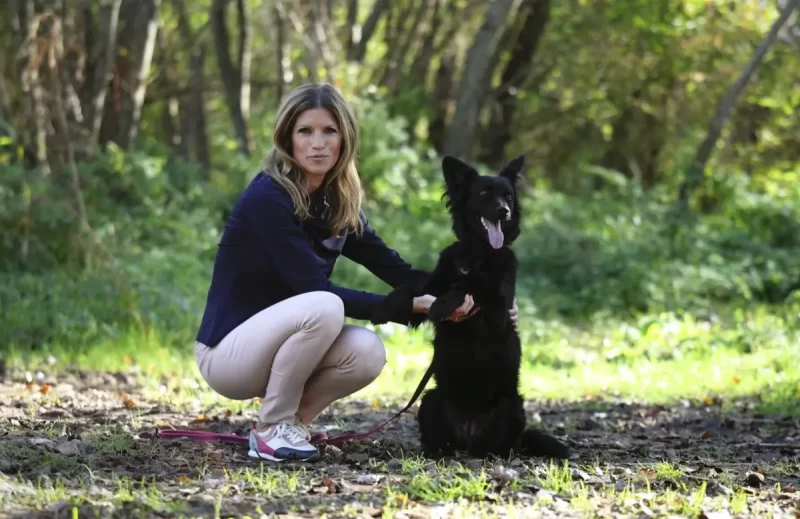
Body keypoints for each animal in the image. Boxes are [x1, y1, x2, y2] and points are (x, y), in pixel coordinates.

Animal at [371, 155, 570, 460]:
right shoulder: (433, 284)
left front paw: (443, 305)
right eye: (484, 193)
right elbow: (410, 289)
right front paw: (384, 307)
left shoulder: (498, 309)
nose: (503, 212)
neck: (477, 252)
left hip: (510, 406)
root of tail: (468, 435)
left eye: (508, 196)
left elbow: (468, 288)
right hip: (431, 399)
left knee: (497, 447)